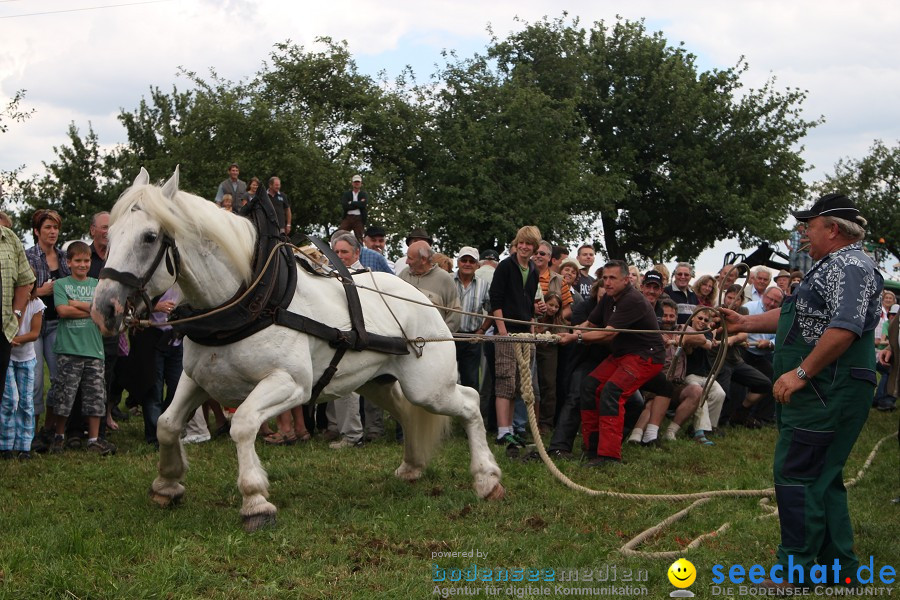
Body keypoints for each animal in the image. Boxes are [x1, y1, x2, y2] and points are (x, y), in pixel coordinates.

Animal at [94, 168, 502, 528]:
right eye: (109, 234)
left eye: (149, 237)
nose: (104, 308)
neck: (251, 299)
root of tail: (423, 298)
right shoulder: (197, 379)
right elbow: (166, 424)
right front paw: (167, 484)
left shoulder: (290, 384)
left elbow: (243, 423)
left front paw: (255, 501)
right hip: (377, 382)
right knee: (406, 410)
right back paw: (413, 466)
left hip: (429, 387)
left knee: (468, 402)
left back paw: (487, 479)